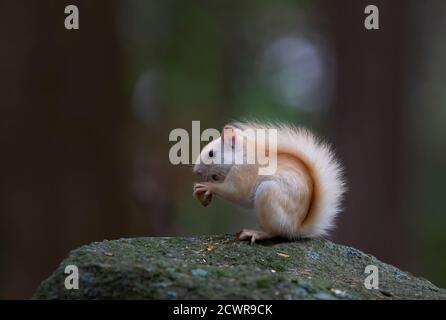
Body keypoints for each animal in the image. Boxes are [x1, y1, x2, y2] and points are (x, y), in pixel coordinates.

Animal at [192, 121, 344, 244]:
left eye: (211, 153)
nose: (196, 171)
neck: (242, 155)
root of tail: (296, 229)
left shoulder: (244, 171)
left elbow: (235, 191)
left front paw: (207, 186)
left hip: (268, 195)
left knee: (274, 232)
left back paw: (254, 233)